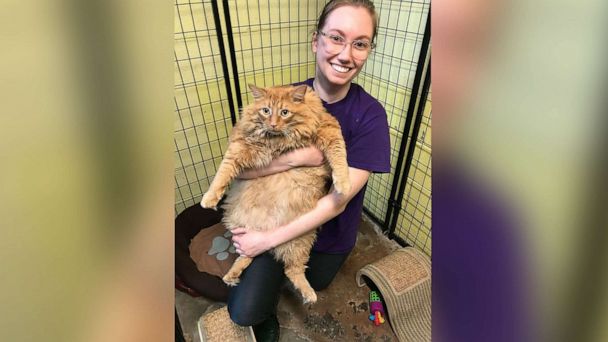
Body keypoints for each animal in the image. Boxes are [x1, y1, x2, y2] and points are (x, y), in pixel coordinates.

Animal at [202, 84, 350, 304]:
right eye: (265, 111)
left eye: (284, 112)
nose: (272, 123)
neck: (277, 141)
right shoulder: (239, 145)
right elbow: (223, 172)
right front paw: (210, 198)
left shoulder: (329, 129)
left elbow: (340, 158)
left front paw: (344, 185)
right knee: (251, 257)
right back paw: (231, 276)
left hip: (302, 240)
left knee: (292, 270)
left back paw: (309, 294)